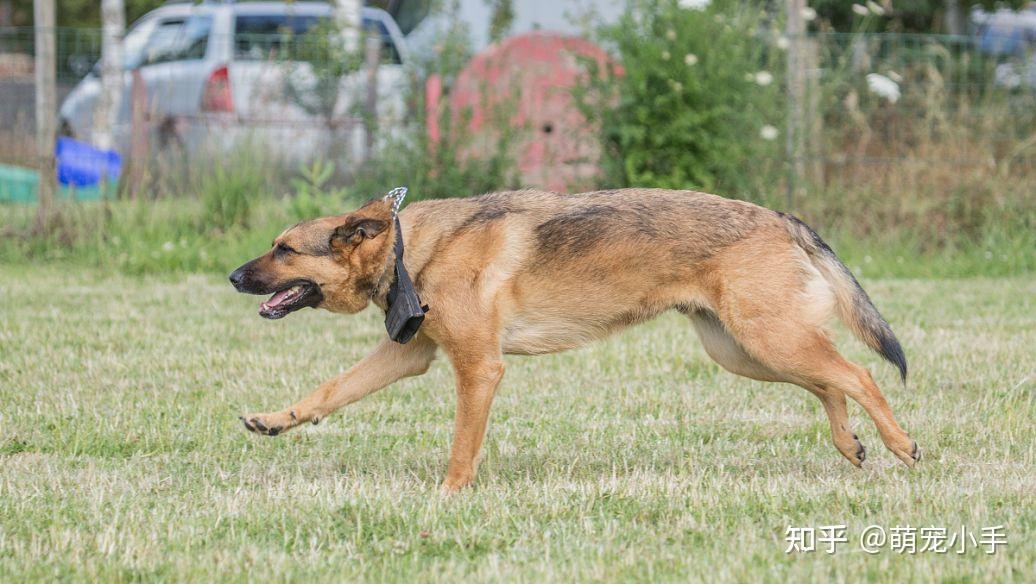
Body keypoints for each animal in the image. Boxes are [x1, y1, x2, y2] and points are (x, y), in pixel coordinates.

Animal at [231, 189, 919, 490]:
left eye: (284, 249)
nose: (233, 277)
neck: (412, 250)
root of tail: (782, 218)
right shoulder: (412, 355)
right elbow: (329, 392)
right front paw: (275, 419)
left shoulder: (478, 369)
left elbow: (461, 449)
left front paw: (449, 497)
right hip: (745, 352)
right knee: (830, 384)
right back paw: (851, 445)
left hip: (769, 339)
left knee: (858, 375)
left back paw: (899, 443)